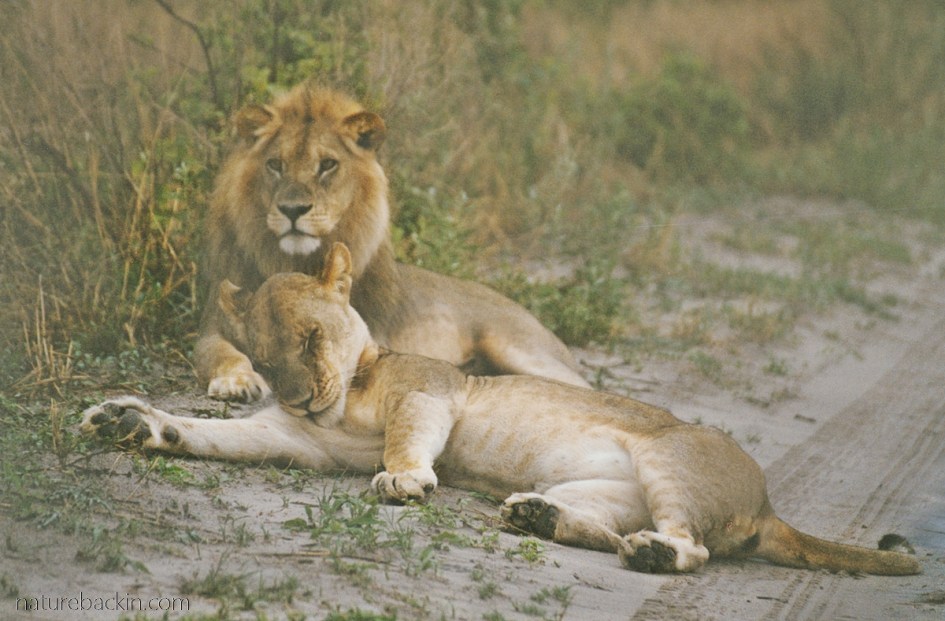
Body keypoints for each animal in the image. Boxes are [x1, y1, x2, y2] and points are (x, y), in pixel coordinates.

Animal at [83, 243, 920, 575]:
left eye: (312, 336)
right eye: (261, 360)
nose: (303, 395)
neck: (350, 387)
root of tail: (768, 501)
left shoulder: (434, 390)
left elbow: (405, 438)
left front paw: (403, 479)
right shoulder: (297, 438)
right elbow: (209, 432)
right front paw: (130, 419)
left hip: (668, 457)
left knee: (692, 546)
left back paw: (649, 553)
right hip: (597, 489)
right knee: (607, 525)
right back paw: (538, 517)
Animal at [196, 84, 588, 402]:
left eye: (328, 165)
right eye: (275, 164)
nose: (292, 210)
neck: (296, 262)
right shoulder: (214, 323)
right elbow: (220, 351)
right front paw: (237, 381)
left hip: (520, 349)